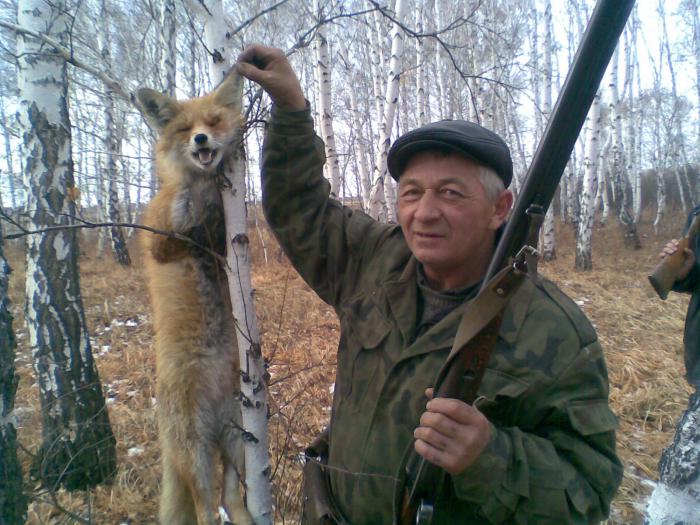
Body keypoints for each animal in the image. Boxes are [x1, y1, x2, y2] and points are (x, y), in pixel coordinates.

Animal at [137, 72, 253, 525]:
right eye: (185, 129)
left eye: (214, 120)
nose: (202, 139)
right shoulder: (161, 239)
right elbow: (185, 219)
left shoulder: (223, 236)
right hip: (196, 454)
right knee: (205, 508)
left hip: (236, 441)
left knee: (232, 497)